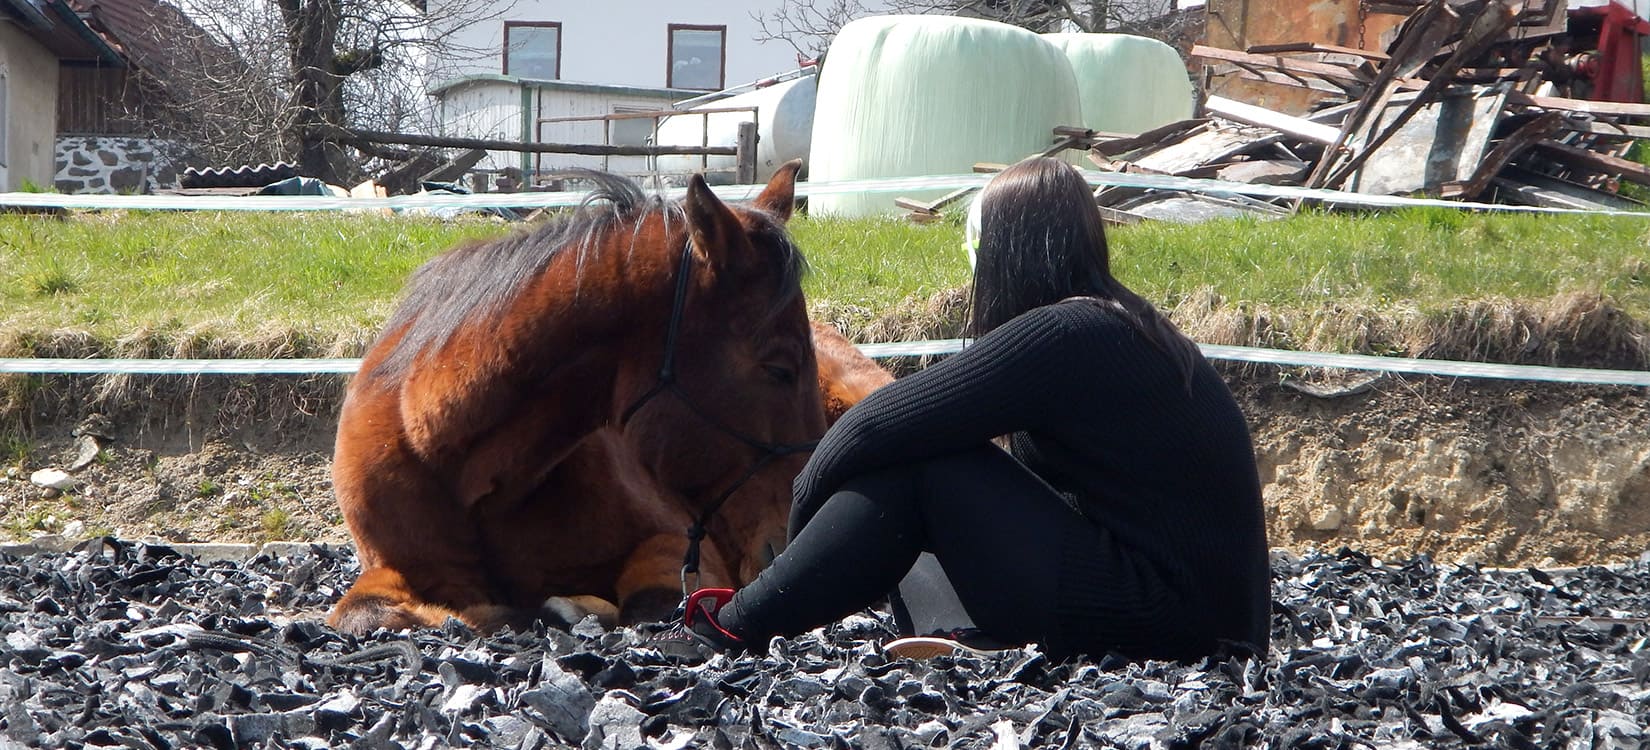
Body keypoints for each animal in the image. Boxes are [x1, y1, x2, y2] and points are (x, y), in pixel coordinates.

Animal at [330, 163, 897, 632]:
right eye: (779, 368)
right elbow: (364, 612)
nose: (803, 528)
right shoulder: (398, 568)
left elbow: (644, 603)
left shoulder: (682, 549)